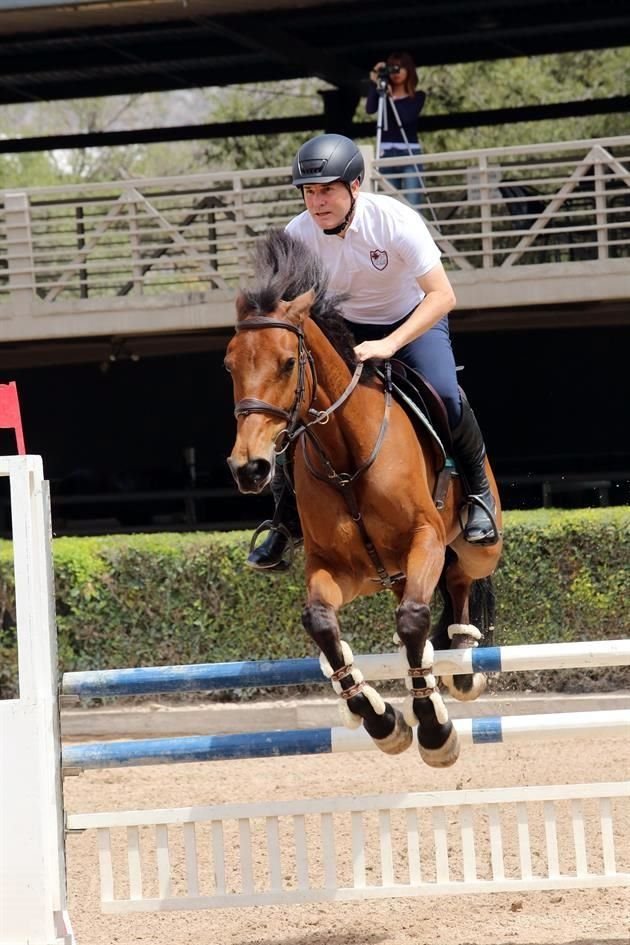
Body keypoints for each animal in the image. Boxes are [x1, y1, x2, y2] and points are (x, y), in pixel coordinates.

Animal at [227, 230, 504, 768]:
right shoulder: (339, 568)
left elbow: (414, 620)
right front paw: (381, 719)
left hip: (474, 548)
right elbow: (321, 623)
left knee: (460, 582)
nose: (249, 468)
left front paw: (434, 731)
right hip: (395, 574)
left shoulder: (424, 539)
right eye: (229, 366)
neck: (346, 457)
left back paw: (462, 664)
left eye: (288, 363)